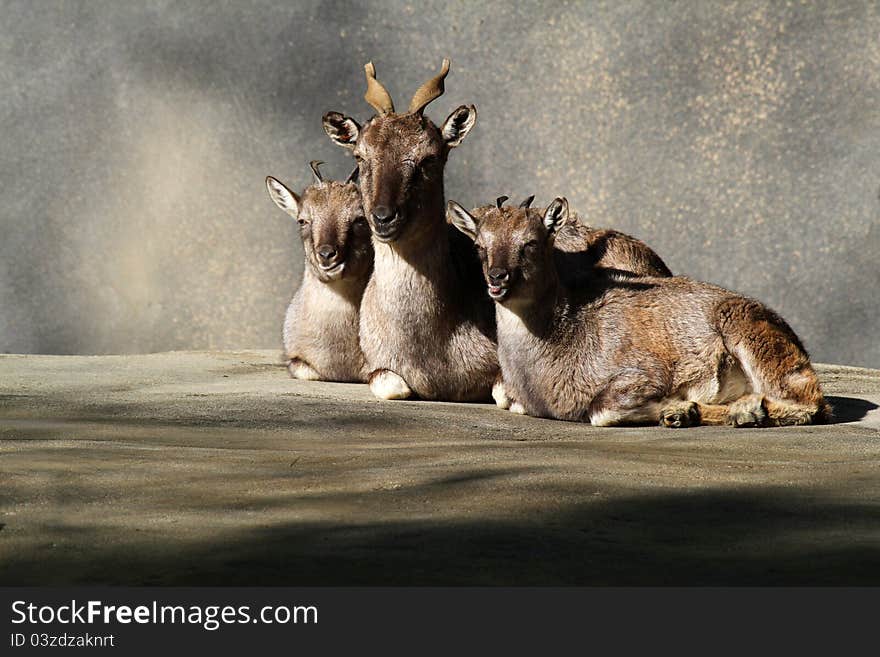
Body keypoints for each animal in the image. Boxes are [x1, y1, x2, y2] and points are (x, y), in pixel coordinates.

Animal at [324, 60, 672, 400]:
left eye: (429, 158)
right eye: (361, 156)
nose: (383, 217)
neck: (430, 348)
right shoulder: (377, 365)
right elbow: (390, 385)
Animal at [446, 197, 832, 428]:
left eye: (531, 242)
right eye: (479, 245)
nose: (498, 278)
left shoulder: (638, 376)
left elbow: (604, 411)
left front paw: (676, 406)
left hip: (748, 336)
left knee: (810, 402)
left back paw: (733, 411)